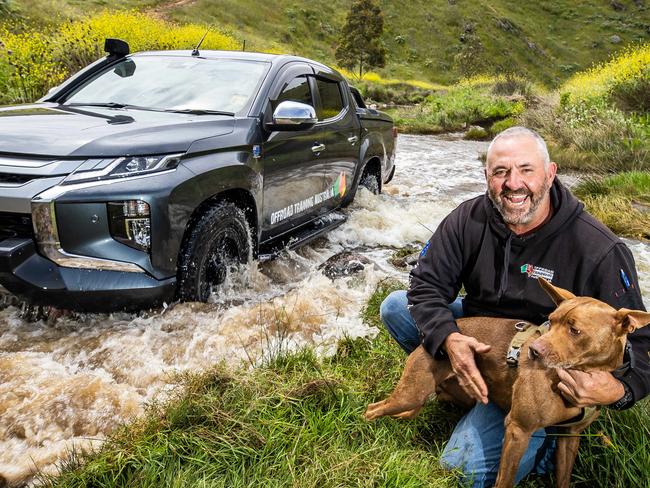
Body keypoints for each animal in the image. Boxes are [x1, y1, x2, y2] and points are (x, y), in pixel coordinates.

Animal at [364, 278, 648, 488]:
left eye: (575, 330)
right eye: (552, 320)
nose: (533, 351)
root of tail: (432, 339)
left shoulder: (570, 436)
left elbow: (563, 477)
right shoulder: (518, 429)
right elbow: (505, 479)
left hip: (427, 395)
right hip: (411, 392)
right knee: (372, 409)